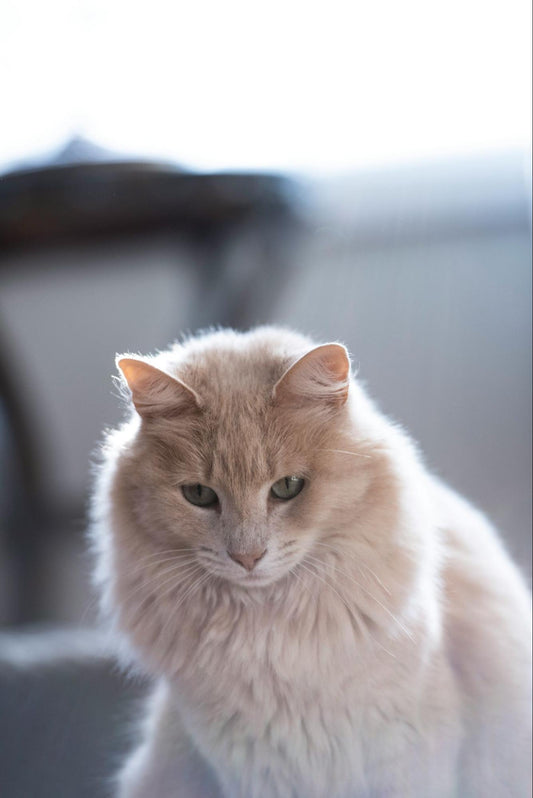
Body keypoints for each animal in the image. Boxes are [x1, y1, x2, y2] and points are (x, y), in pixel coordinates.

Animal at [89, 326, 528, 798]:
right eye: (199, 495)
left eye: (288, 487)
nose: (247, 557)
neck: (268, 633)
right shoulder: (253, 770)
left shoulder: (408, 757)